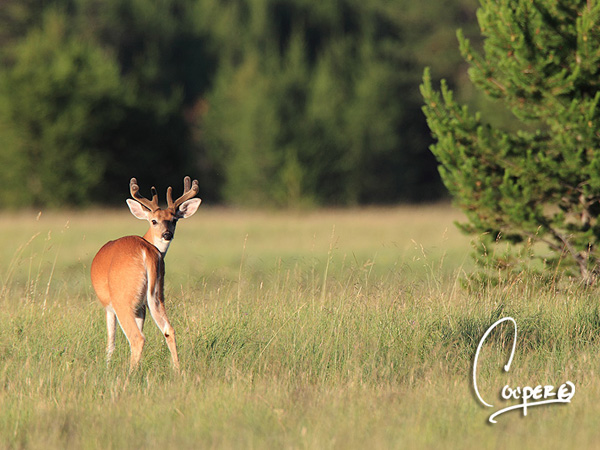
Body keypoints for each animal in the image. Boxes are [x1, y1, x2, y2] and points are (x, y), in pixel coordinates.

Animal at [89, 175, 202, 370]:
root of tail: (146, 251)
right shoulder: (141, 306)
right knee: (169, 330)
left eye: (174, 219)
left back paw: (130, 372)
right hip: (156, 295)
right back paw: (177, 370)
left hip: (122, 299)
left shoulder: (109, 306)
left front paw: (107, 366)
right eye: (154, 220)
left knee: (137, 338)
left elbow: (111, 341)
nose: (167, 234)